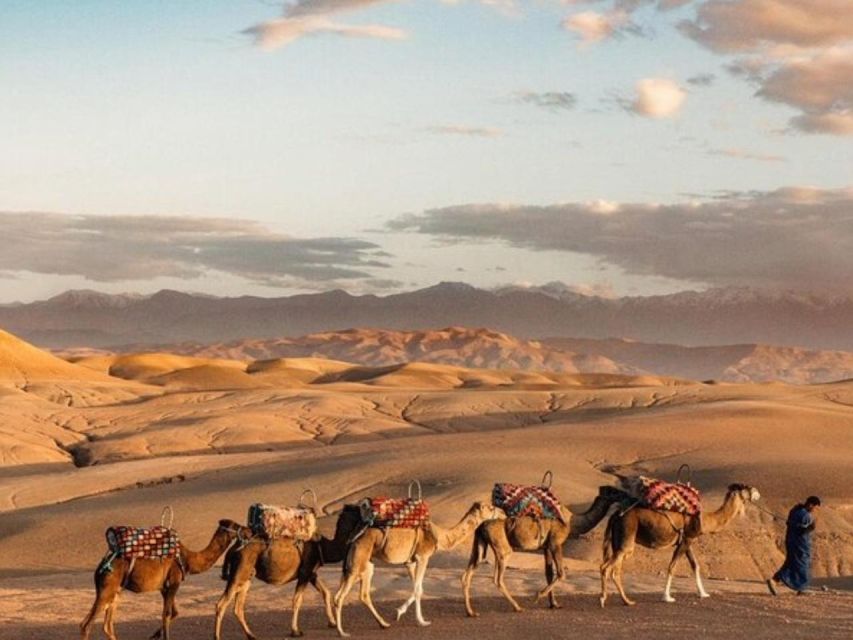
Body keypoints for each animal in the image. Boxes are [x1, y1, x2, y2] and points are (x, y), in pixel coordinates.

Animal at [80, 519, 241, 640]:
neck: (188, 559)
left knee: (106, 625)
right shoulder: (174, 582)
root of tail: (101, 566)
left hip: (115, 591)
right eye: (235, 526)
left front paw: (154, 636)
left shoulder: (165, 587)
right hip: (107, 588)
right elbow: (167, 614)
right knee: (86, 625)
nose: (245, 529)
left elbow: (173, 612)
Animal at [214, 505, 363, 639]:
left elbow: (325, 593)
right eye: (358, 509)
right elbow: (297, 600)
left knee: (238, 607)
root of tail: (235, 546)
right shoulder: (305, 572)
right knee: (221, 604)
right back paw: (217, 636)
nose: (368, 516)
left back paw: (251, 635)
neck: (322, 546)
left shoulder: (311, 573)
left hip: (246, 575)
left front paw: (332, 623)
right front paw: (295, 631)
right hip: (240, 571)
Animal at [333, 501, 498, 637]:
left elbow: (418, 589)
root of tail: (353, 537)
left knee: (362, 594)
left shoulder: (410, 562)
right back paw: (342, 632)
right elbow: (418, 590)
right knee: (340, 596)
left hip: (366, 563)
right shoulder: (423, 556)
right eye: (490, 508)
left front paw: (403, 614)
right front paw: (420, 620)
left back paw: (384, 624)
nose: (499, 510)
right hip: (358, 560)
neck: (439, 535)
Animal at [461, 485, 624, 617]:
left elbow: (549, 573)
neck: (571, 522)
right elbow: (561, 573)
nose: (625, 495)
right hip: (502, 546)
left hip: (479, 543)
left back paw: (471, 612)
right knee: (498, 578)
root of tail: (482, 524)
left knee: (468, 574)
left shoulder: (546, 547)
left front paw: (554, 604)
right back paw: (517, 607)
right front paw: (538, 596)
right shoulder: (556, 542)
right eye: (614, 491)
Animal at [599, 482, 761, 607]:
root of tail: (615, 515)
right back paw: (603, 600)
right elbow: (672, 567)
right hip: (627, 536)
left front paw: (703, 593)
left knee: (615, 570)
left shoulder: (687, 541)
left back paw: (627, 601)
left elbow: (695, 565)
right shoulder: (686, 539)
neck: (704, 520)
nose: (757, 493)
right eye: (745, 487)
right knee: (606, 567)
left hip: (619, 541)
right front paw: (667, 597)